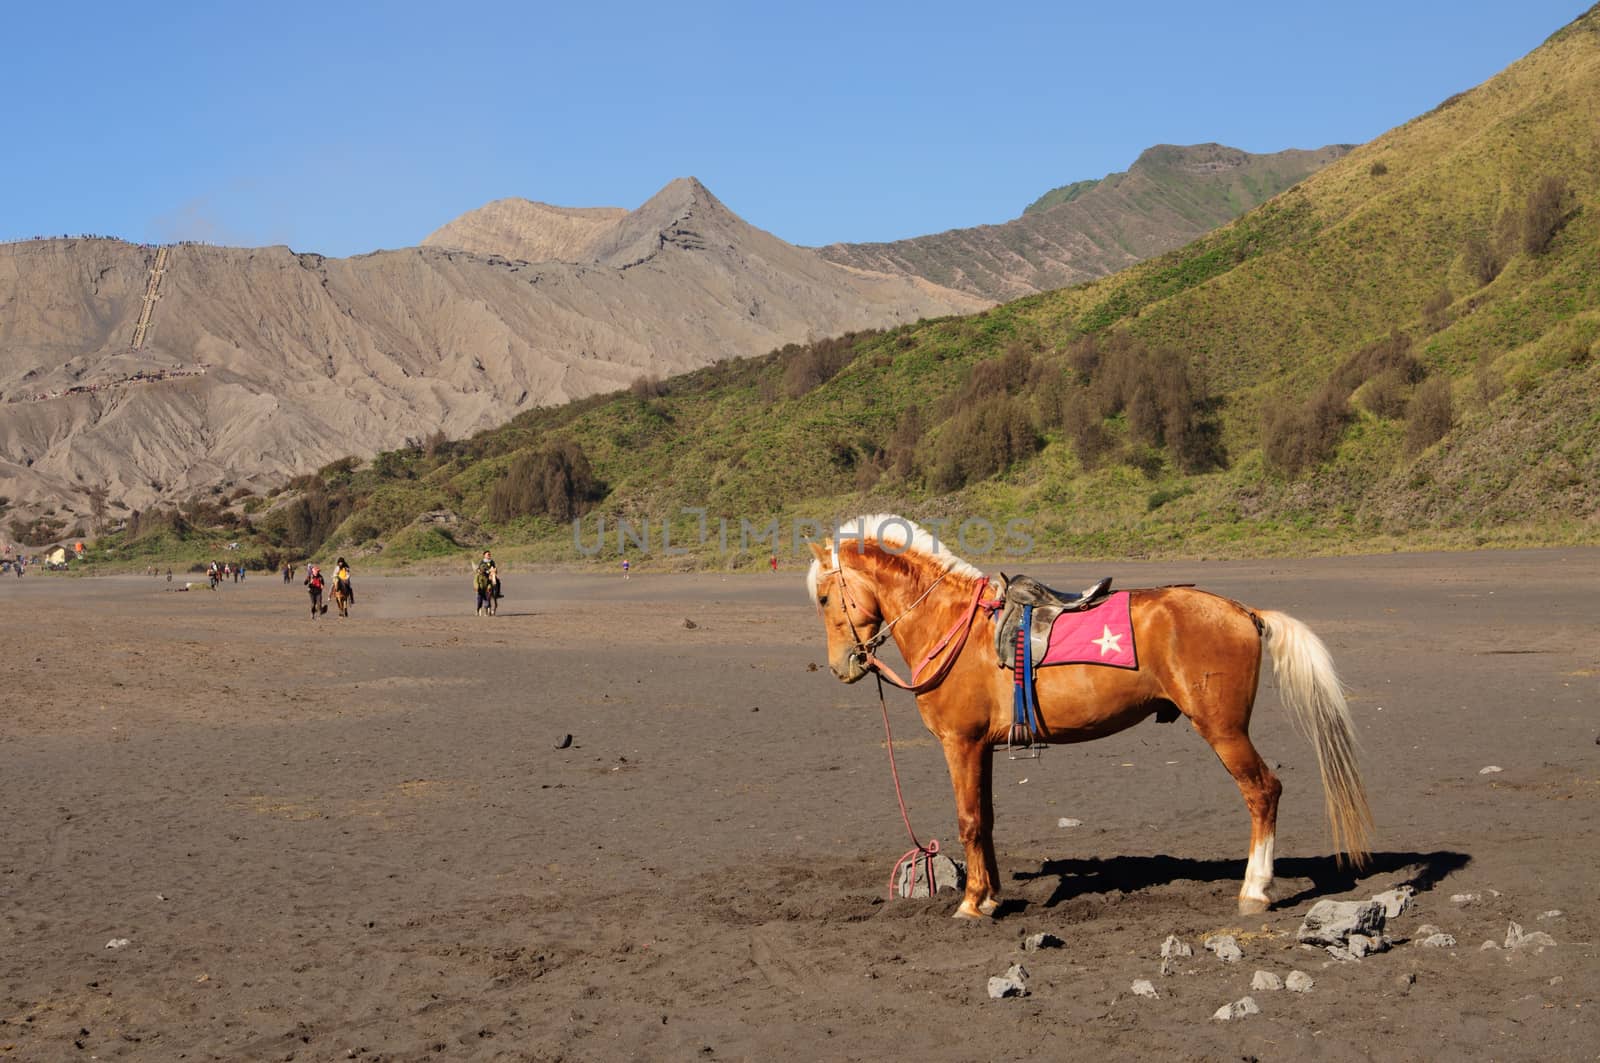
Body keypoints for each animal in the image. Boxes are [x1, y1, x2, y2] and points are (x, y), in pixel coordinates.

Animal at [812, 518, 1376, 915]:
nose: (843, 666)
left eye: (823, 597)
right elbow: (987, 820)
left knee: (1263, 791)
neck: (953, 625)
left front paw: (972, 903)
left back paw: (1255, 889)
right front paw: (990, 894)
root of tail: (1244, 611)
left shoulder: (961, 743)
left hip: (1223, 729)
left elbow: (968, 821)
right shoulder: (983, 748)